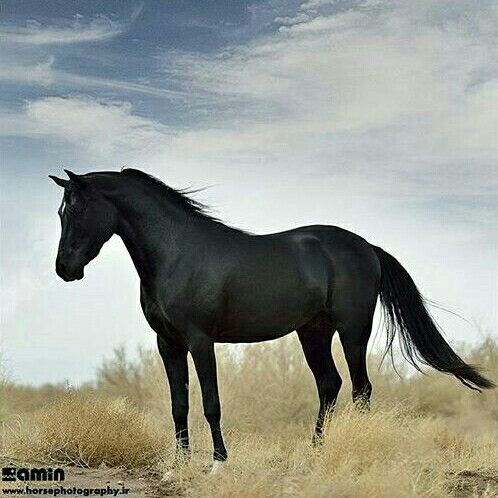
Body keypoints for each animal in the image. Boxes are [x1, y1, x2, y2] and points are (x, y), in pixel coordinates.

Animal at [48, 167, 492, 470]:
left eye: (78, 209)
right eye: (60, 211)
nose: (64, 269)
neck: (176, 252)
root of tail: (367, 247)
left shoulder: (200, 341)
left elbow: (211, 402)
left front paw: (219, 462)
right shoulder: (168, 343)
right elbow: (179, 404)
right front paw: (179, 464)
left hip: (352, 331)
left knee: (361, 389)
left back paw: (356, 450)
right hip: (313, 333)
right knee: (330, 386)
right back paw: (315, 452)